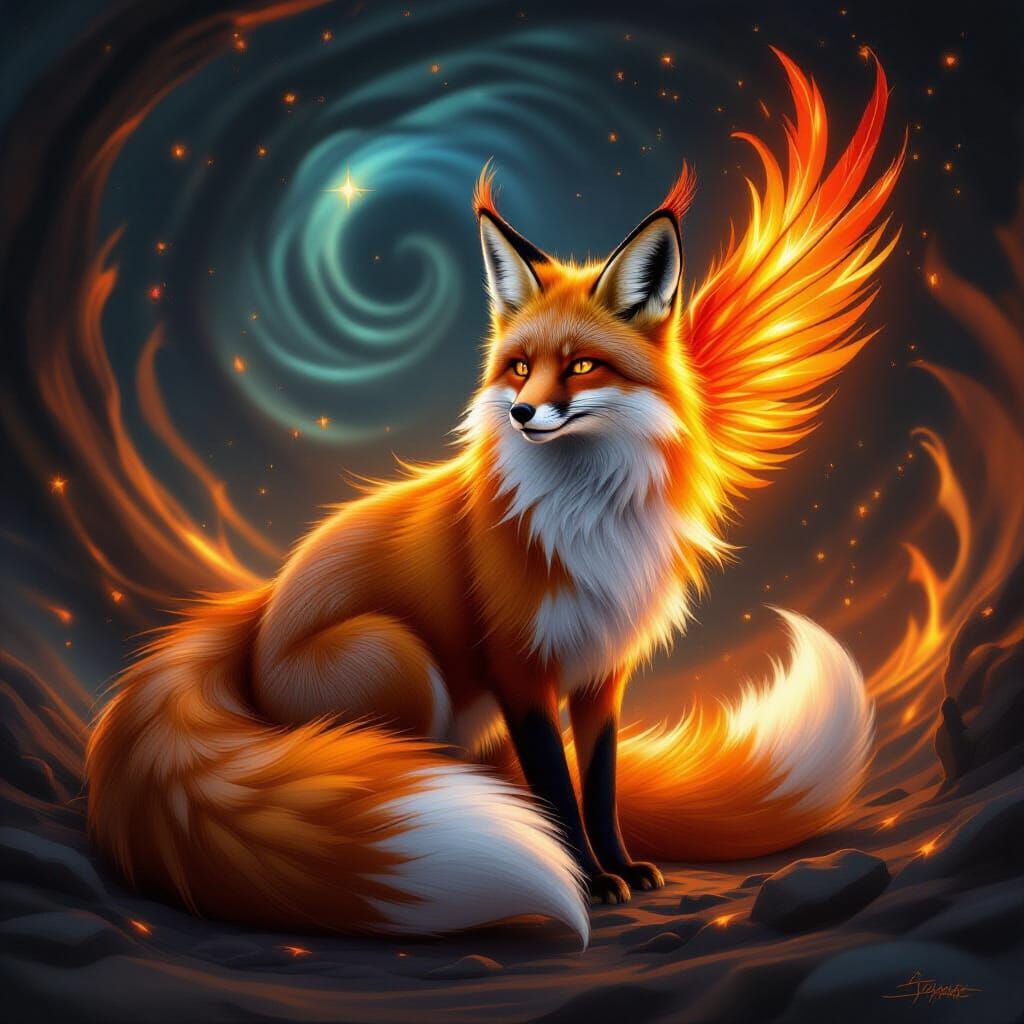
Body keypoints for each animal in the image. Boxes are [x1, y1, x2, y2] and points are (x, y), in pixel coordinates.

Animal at [87, 51, 903, 945]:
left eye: (580, 366)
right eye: (518, 368)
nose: (520, 413)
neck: (587, 517)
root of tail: (259, 614)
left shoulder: (600, 671)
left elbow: (600, 786)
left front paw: (622, 867)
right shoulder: (520, 669)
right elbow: (555, 789)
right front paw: (587, 878)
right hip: (398, 656)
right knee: (395, 766)